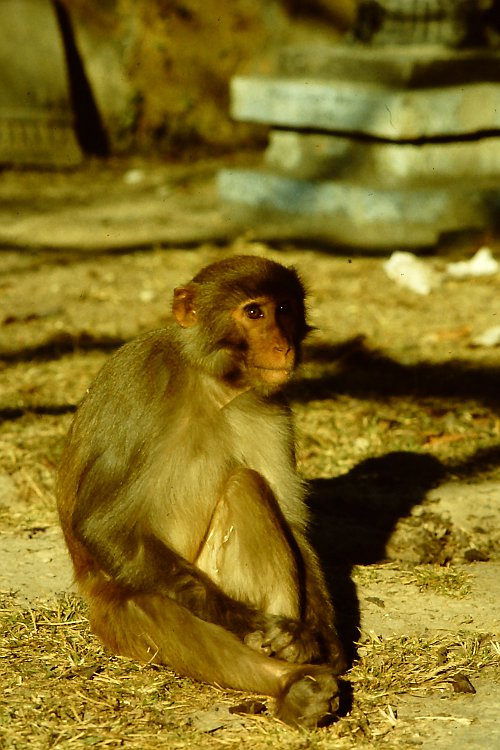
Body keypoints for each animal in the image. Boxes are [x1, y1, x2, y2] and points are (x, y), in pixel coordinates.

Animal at [56, 258, 346, 728]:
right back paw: (285, 679)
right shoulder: (144, 387)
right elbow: (102, 526)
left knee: (246, 485)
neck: (212, 382)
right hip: (117, 614)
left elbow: (293, 523)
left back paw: (296, 660)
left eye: (284, 308)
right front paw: (252, 625)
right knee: (159, 612)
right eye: (254, 313)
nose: (282, 346)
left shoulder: (273, 410)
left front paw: (323, 641)